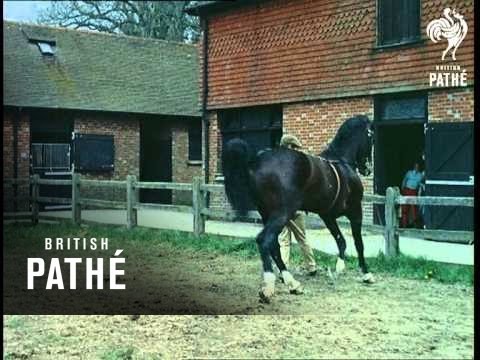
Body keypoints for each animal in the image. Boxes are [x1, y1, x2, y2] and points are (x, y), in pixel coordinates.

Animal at [221, 114, 376, 302]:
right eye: (371, 137)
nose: (367, 169)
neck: (343, 162)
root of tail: (255, 161)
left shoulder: (327, 215)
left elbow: (341, 240)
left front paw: (338, 268)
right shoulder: (355, 211)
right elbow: (358, 243)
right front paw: (366, 274)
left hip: (267, 214)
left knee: (274, 245)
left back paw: (293, 284)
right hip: (282, 213)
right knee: (264, 240)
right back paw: (269, 287)